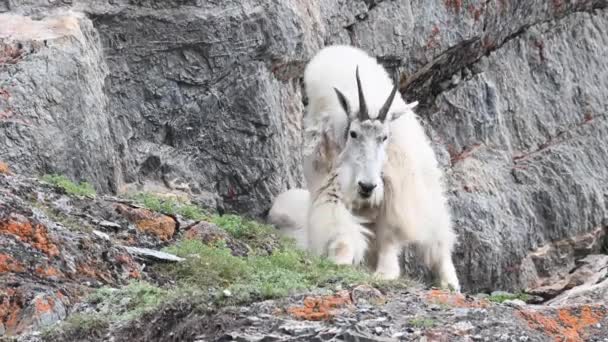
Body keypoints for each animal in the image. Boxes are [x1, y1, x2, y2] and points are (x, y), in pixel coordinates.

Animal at [268, 44, 458, 292]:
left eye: (384, 137)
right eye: (353, 133)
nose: (367, 187)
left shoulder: (395, 191)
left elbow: (390, 235)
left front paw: (386, 273)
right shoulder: (331, 182)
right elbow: (340, 229)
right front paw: (340, 260)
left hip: (425, 191)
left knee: (437, 237)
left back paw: (449, 282)